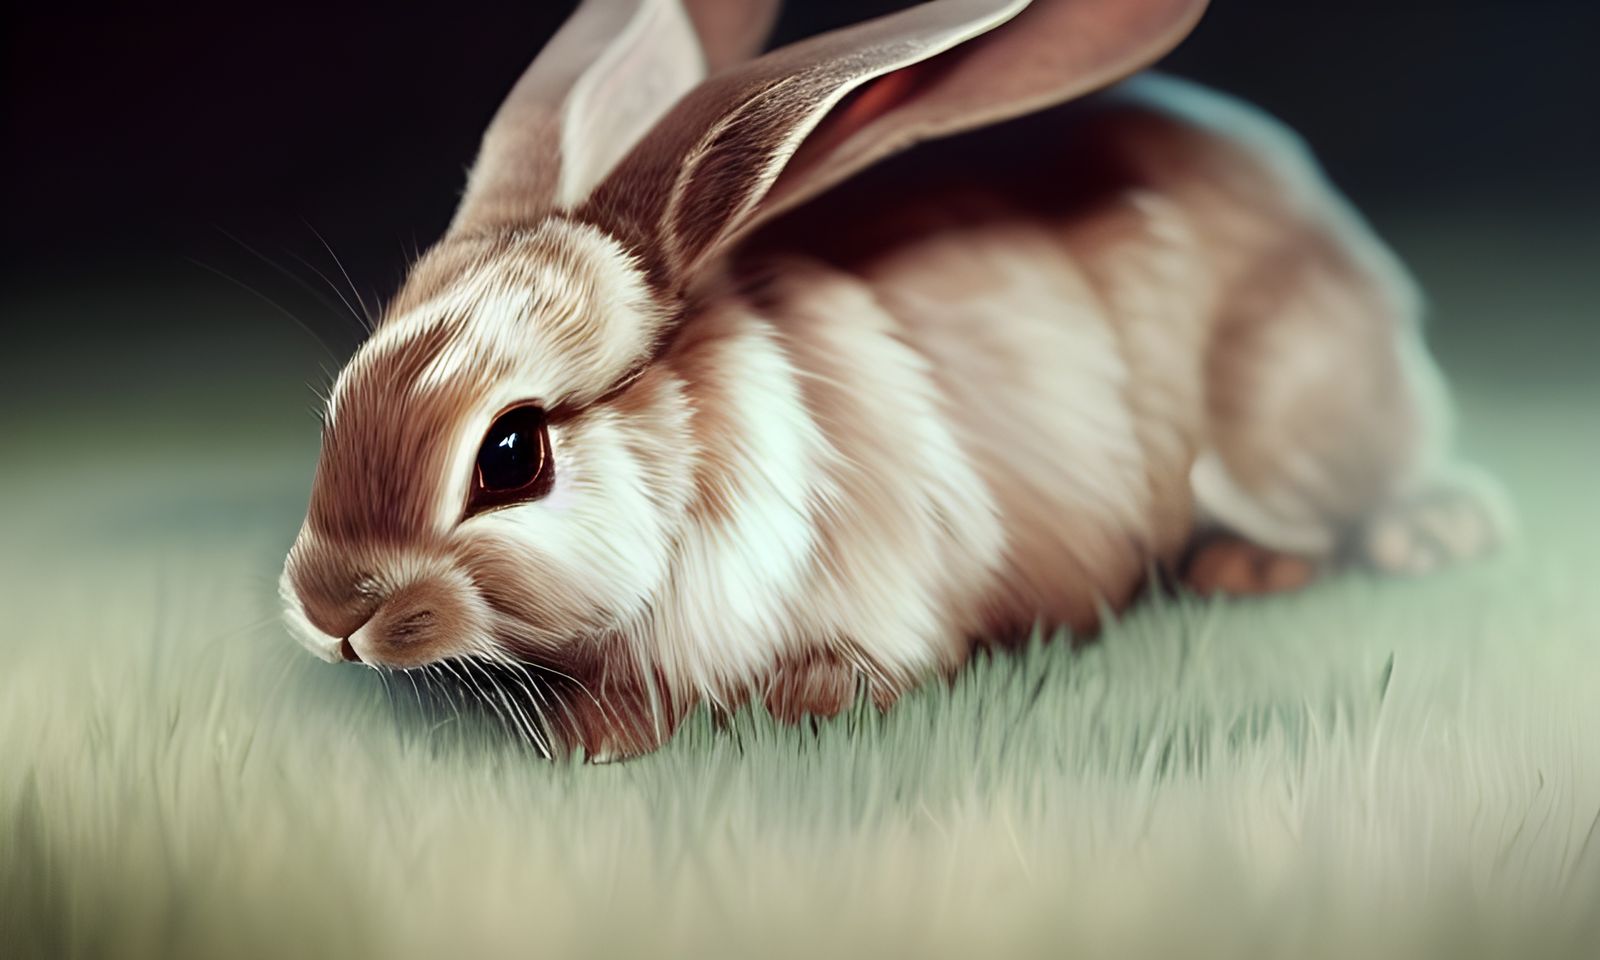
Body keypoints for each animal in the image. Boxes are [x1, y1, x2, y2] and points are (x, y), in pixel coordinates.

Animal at [280, 0, 1508, 759]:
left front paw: (793, 708)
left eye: (511, 453)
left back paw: (1314, 555)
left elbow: (873, 665)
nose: (331, 613)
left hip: (1274, 427)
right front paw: (591, 737)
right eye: (336, 403)